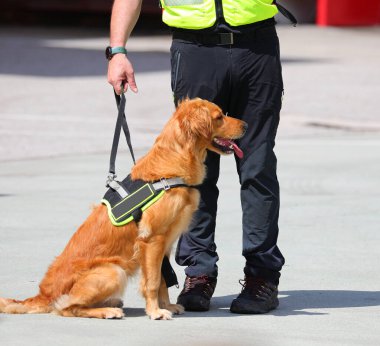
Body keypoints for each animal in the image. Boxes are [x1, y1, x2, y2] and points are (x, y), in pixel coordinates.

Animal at [0, 98, 248, 320]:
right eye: (219, 117)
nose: (246, 125)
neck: (171, 168)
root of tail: (43, 294)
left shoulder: (164, 245)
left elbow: (163, 280)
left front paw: (166, 306)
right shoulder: (152, 240)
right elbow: (153, 282)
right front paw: (155, 312)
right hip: (113, 270)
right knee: (67, 308)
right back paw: (107, 311)